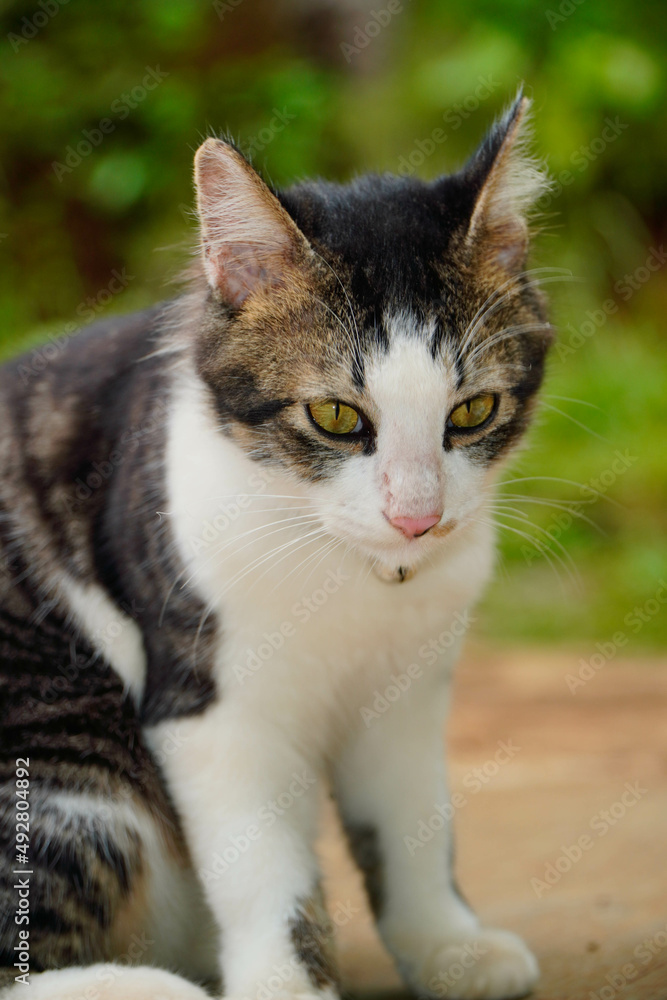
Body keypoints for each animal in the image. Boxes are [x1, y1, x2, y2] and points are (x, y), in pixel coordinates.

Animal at [0, 88, 552, 1000]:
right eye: (335, 416)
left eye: (471, 412)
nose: (416, 517)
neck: (344, 570)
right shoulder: (210, 703)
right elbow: (265, 868)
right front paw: (288, 981)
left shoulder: (408, 690)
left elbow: (411, 820)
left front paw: (446, 943)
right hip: (68, 752)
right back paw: (143, 987)